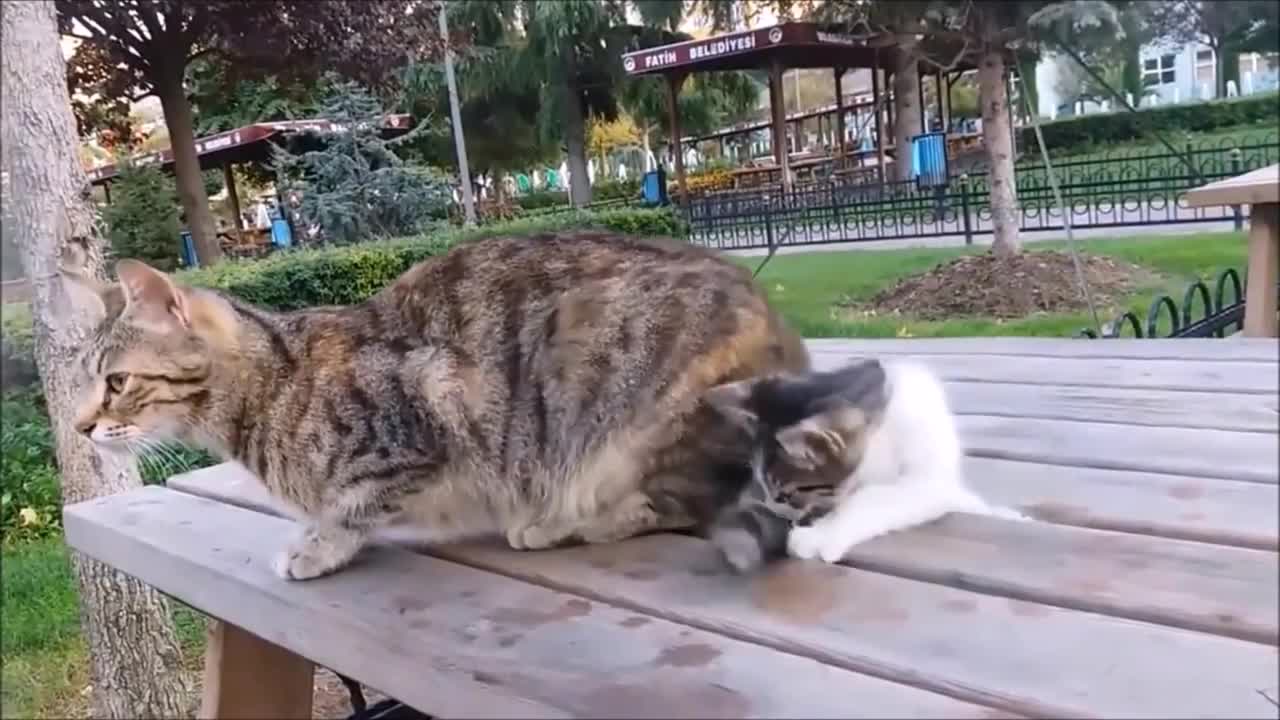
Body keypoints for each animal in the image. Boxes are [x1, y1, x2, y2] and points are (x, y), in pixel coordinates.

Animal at [64, 233, 803, 579]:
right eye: (84, 382)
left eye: (117, 382)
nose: (80, 425)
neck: (273, 384)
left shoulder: (416, 426)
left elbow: (353, 507)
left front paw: (318, 547)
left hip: (632, 418)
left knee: (676, 505)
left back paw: (558, 523)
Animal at [706, 356, 1024, 568]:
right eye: (763, 486)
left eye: (786, 492)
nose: (775, 510)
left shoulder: (928, 479)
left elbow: (873, 499)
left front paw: (817, 536)